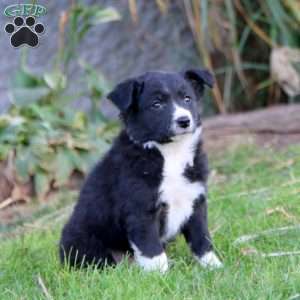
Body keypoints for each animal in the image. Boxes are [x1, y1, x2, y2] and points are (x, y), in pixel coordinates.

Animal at [59, 69, 223, 272]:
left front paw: (214, 266)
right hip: (82, 241)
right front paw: (161, 275)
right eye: (156, 104)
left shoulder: (195, 200)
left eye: (187, 99)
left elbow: (202, 238)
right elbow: (151, 248)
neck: (171, 152)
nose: (184, 120)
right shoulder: (141, 209)